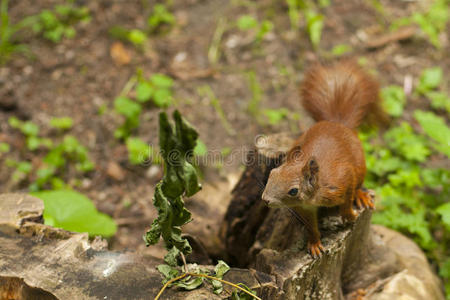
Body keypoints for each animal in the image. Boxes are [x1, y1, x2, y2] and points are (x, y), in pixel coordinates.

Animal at [262, 60, 384, 258]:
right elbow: (311, 226)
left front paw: (349, 215)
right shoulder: (304, 209)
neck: (315, 194)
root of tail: (337, 123)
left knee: (358, 185)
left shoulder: (343, 180)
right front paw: (314, 243)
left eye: (293, 191)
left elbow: (347, 200)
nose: (265, 199)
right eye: (272, 173)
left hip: (360, 165)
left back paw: (361, 196)